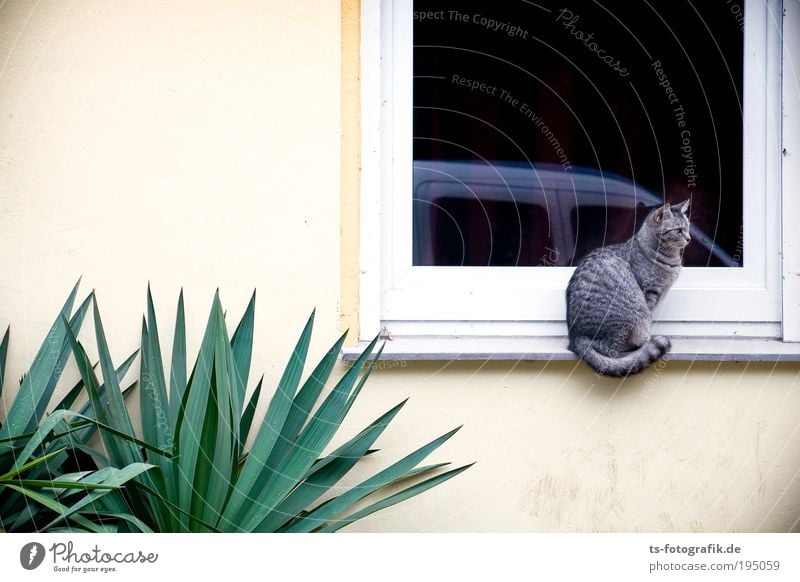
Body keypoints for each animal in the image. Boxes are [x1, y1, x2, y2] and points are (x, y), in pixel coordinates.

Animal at [564, 201, 692, 378]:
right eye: (679, 230)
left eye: (688, 228)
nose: (689, 238)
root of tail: (577, 338)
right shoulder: (648, 293)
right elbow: (649, 317)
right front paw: (647, 339)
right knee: (610, 349)